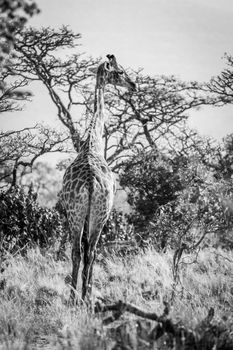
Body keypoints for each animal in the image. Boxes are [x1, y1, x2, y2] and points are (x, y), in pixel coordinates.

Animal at [61, 54, 136, 300]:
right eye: (120, 72)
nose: (134, 85)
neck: (92, 143)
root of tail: (91, 184)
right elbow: (90, 251)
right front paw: (88, 292)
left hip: (77, 213)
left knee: (78, 250)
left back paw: (75, 296)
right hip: (99, 214)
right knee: (90, 251)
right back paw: (84, 296)